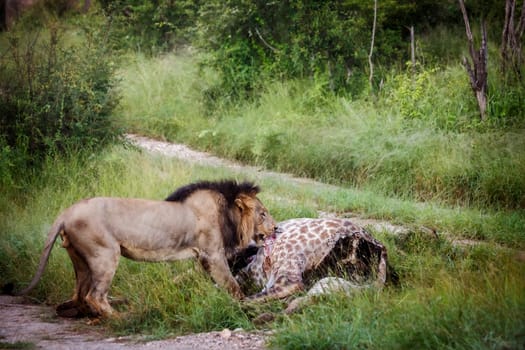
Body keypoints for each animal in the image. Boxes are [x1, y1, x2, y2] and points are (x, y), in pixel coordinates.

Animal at [16, 180, 276, 318]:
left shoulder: (203, 259)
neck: (228, 215)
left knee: (79, 294)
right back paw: (121, 318)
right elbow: (232, 285)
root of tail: (67, 212)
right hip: (106, 254)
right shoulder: (213, 254)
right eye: (263, 214)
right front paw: (243, 304)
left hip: (80, 259)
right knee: (94, 295)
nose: (276, 228)